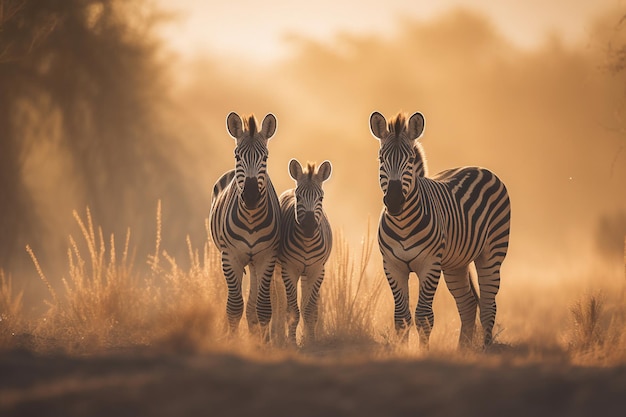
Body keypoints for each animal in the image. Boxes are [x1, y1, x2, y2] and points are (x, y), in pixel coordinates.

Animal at [208, 112, 280, 340]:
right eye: (237, 156)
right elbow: (234, 306)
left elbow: (262, 307)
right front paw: (231, 340)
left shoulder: (267, 256)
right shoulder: (230, 256)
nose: (250, 196)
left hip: (255, 262)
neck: (250, 217)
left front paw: (263, 343)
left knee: (253, 305)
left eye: (265, 158)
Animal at [278, 158, 332, 342]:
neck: (307, 243)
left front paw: (310, 341)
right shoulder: (289, 269)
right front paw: (291, 342)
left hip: (306, 274)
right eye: (298, 197)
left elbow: (309, 310)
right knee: (278, 302)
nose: (309, 226)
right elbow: (292, 311)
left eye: (321, 197)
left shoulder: (317, 271)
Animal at [368, 110, 510, 348]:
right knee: (468, 304)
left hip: (491, 254)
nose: (394, 202)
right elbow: (401, 318)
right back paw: (463, 350)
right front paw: (402, 351)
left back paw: (485, 349)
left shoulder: (430, 264)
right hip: (455, 264)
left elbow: (424, 317)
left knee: (488, 306)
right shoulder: (392, 265)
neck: (403, 223)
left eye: (409, 160)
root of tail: (477, 167)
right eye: (381, 159)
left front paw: (423, 352)